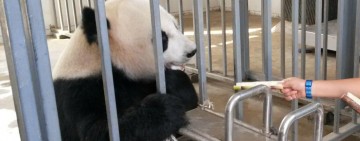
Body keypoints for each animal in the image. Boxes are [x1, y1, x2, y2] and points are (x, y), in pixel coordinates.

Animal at [53, 0, 198, 141]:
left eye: (176, 26)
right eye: (163, 38)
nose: (192, 51)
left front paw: (175, 82)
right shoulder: (78, 93)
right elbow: (98, 132)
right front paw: (165, 108)